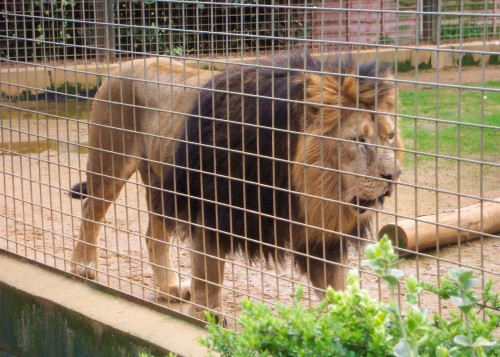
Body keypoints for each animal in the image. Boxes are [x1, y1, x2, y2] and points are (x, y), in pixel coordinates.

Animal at [70, 53, 402, 320]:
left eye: (389, 136)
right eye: (359, 141)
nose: (394, 175)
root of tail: (123, 66)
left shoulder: (320, 234)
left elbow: (338, 287)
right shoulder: (210, 211)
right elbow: (209, 275)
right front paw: (208, 318)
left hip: (160, 182)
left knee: (154, 236)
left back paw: (169, 288)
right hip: (110, 163)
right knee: (90, 212)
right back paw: (82, 267)